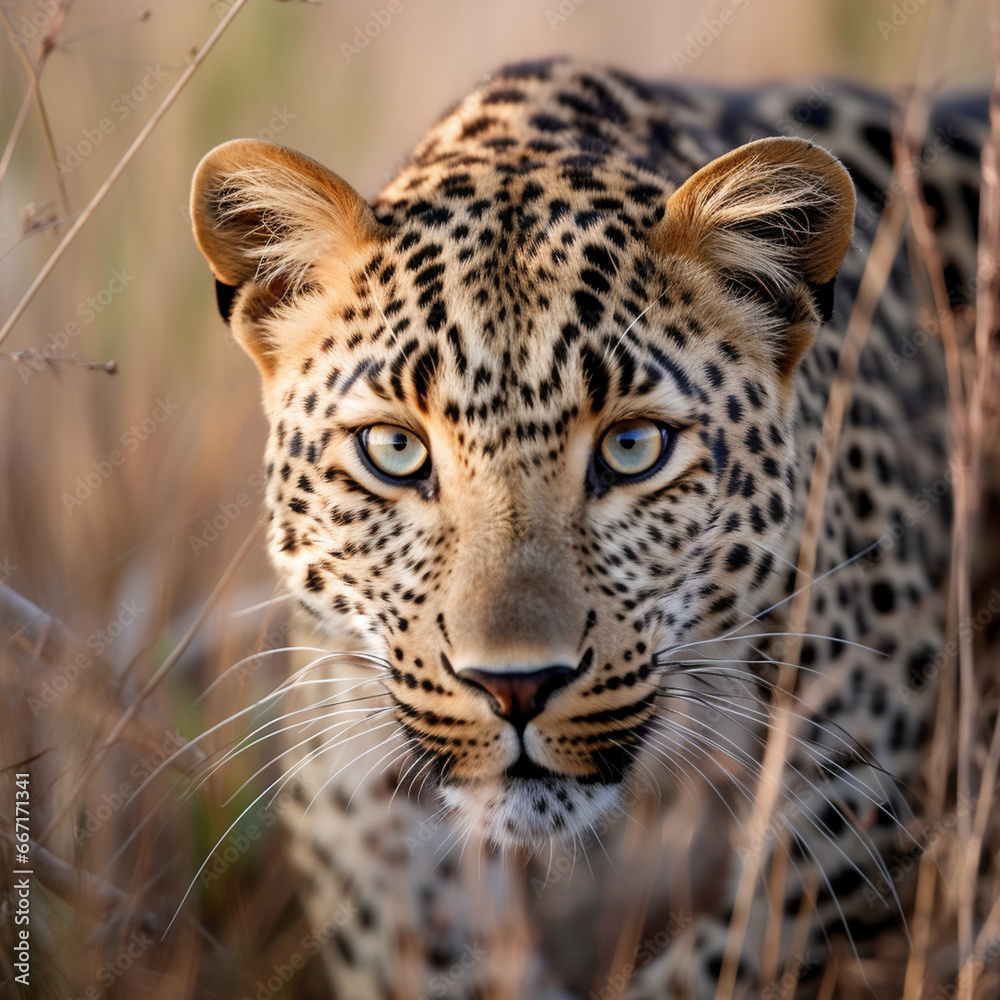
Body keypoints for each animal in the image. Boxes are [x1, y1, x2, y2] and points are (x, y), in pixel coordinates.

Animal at [189, 58, 988, 999]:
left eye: (632, 448)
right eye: (394, 449)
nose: (516, 687)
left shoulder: (863, 773)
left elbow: (740, 955)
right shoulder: (341, 761)